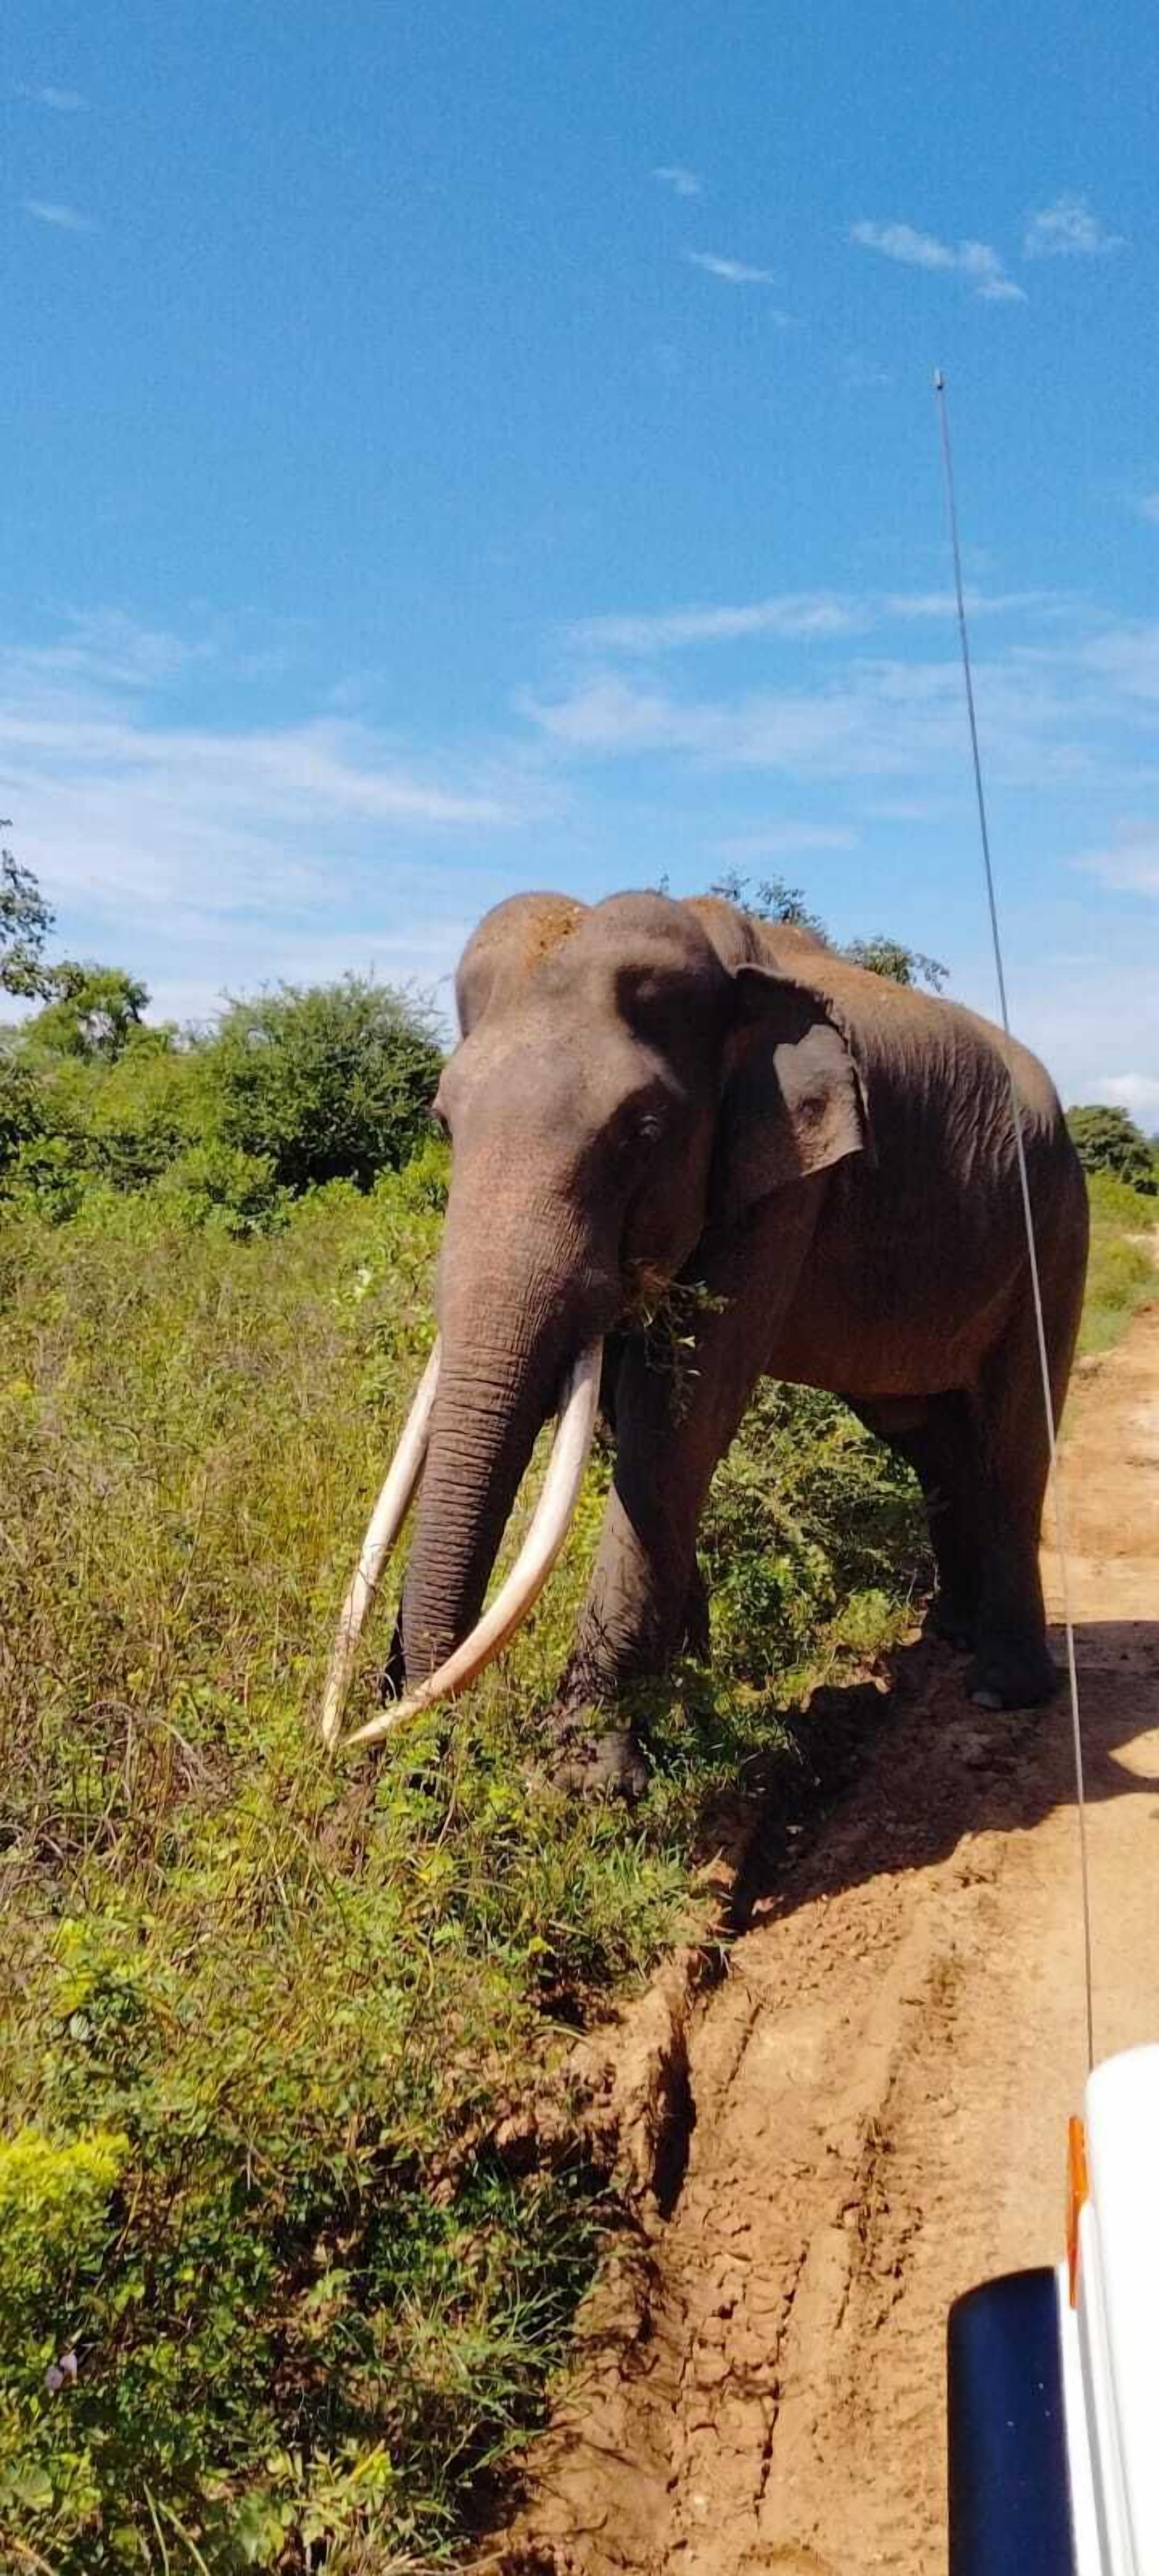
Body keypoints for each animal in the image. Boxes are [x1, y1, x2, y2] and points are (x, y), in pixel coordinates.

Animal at [321, 887, 1089, 1791]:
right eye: (444, 1121)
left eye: (645, 1130)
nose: (406, 1756)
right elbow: (630, 1416)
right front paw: (687, 1707)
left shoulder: (786, 1176)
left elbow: (676, 1427)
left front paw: (589, 1780)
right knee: (926, 1437)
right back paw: (950, 1634)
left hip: (1053, 1220)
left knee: (1013, 1438)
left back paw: (1003, 1689)